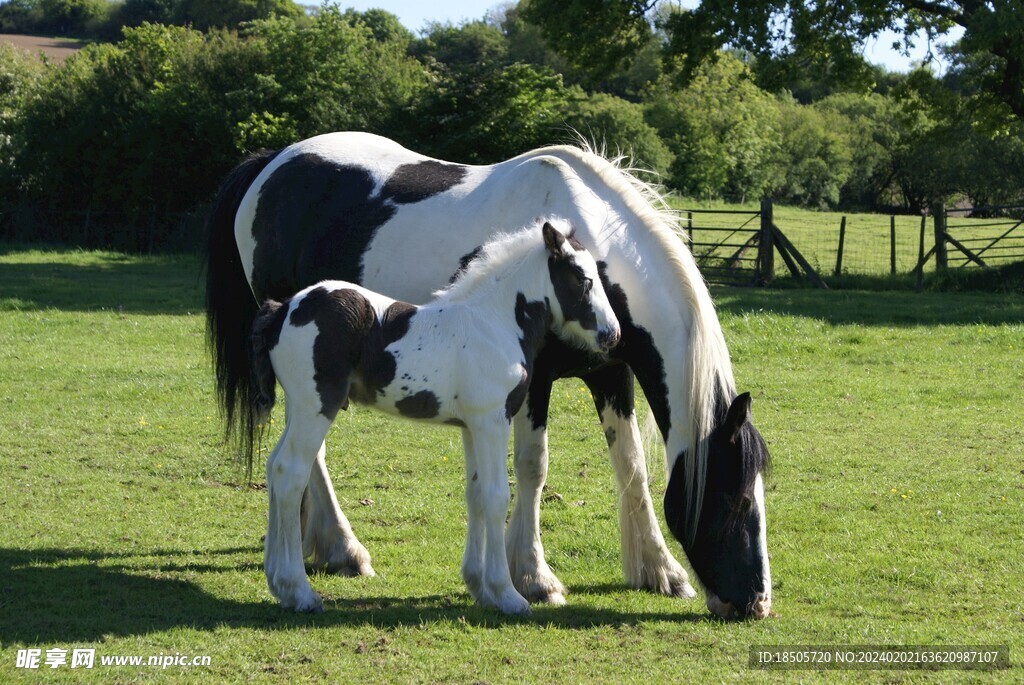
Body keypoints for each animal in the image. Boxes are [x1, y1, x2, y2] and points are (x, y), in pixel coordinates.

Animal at [248, 222, 618, 610]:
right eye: (582, 279)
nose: (612, 334)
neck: (494, 323)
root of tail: (283, 309)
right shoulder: (492, 421)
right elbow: (496, 496)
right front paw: (507, 594)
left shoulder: (471, 427)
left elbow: (475, 495)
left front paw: (479, 586)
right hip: (315, 406)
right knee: (290, 472)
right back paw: (299, 591)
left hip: (298, 406)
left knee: (273, 467)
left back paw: (278, 582)